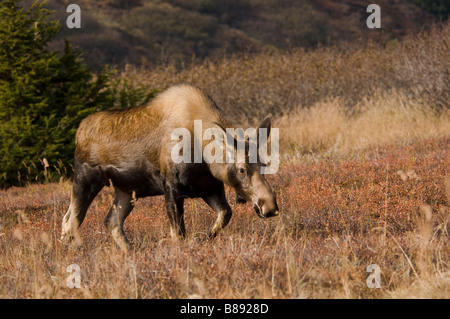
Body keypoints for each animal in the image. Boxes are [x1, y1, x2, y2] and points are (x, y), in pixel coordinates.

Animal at [59, 84, 278, 249]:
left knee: (111, 221)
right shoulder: (172, 188)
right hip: (85, 179)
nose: (269, 207)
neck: (204, 156)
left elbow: (225, 215)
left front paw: (205, 237)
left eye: (264, 164)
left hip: (126, 190)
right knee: (70, 221)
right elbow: (178, 234)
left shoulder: (210, 188)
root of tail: (78, 131)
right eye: (241, 169)